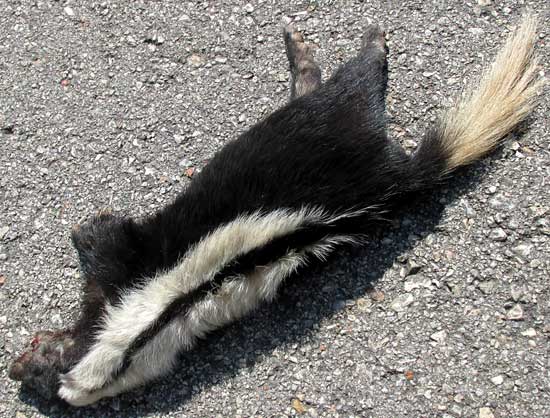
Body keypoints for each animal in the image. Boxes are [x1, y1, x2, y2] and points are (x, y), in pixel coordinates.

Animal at [7, 16, 544, 404]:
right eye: (36, 369)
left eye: (39, 355)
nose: (13, 369)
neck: (144, 330)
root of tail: (394, 176)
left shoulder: (127, 269)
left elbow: (104, 237)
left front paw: (84, 225)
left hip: (326, 123)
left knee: (351, 81)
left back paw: (360, 40)